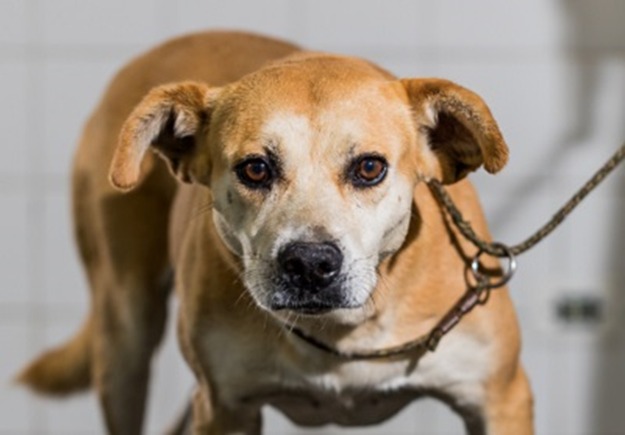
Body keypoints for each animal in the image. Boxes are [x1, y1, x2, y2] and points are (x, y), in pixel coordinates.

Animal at [15, 31, 532, 435]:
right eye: (256, 169)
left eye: (369, 168)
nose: (310, 263)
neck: (341, 330)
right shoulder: (224, 408)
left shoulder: (500, 399)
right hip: (125, 336)